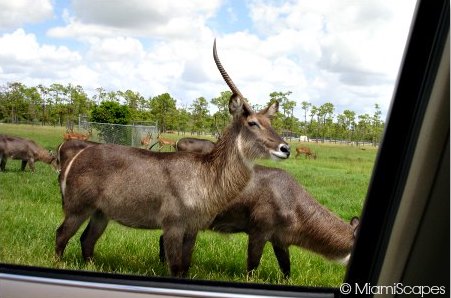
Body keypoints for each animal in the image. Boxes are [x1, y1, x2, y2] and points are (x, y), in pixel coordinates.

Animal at [55, 40, 290, 278]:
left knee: (86, 240)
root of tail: (77, 157)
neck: (205, 176)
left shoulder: (193, 229)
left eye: (270, 123)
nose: (285, 148)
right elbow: (175, 267)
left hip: (100, 213)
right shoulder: (173, 226)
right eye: (252, 123)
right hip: (78, 209)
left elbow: (185, 267)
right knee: (61, 235)